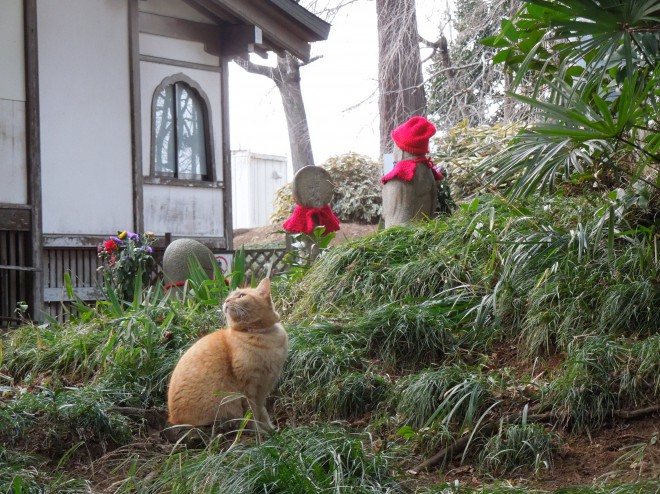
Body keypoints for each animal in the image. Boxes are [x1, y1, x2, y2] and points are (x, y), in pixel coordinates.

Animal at [168, 278, 286, 432]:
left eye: (241, 295)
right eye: (229, 297)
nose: (226, 300)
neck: (261, 336)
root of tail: (173, 419)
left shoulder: (265, 387)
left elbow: (262, 411)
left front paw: (270, 429)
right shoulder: (248, 387)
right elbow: (251, 414)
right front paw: (259, 432)